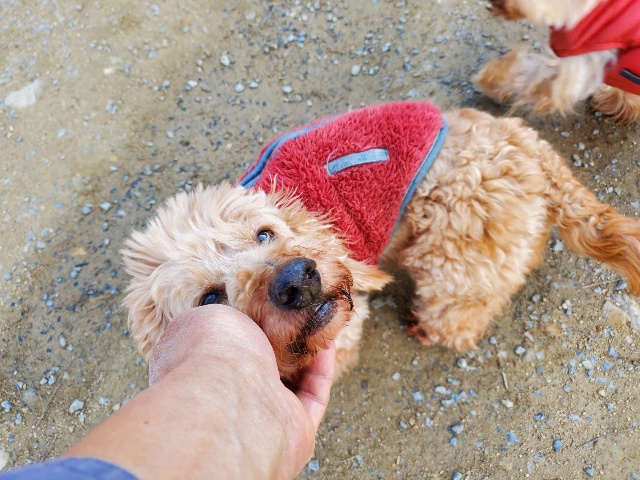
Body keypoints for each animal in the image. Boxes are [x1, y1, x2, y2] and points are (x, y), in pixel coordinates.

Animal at [122, 103, 640, 382]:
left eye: (264, 233)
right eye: (210, 298)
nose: (298, 281)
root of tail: (526, 140)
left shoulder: (346, 324)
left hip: (452, 253)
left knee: (462, 310)